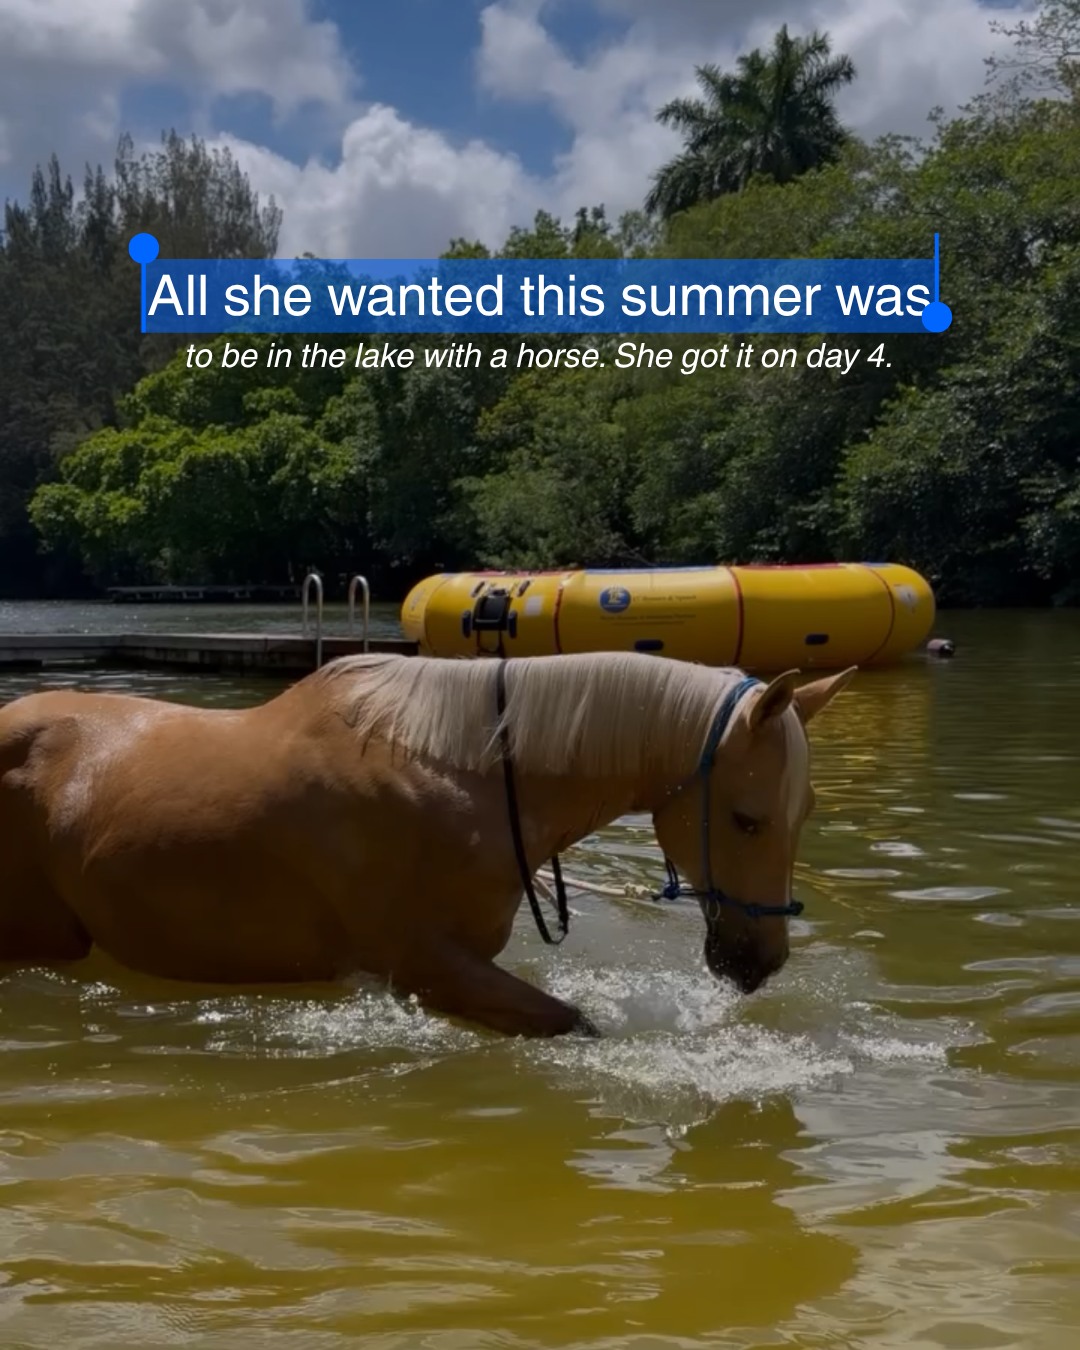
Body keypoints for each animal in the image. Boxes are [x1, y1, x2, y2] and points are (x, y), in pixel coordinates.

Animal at [0, 651, 854, 1038]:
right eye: (747, 818)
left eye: (804, 811)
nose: (758, 962)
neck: (456, 777)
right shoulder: (428, 968)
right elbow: (572, 1022)